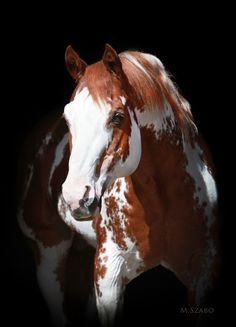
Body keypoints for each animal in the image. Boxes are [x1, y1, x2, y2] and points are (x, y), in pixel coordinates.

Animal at [17, 44, 220, 327]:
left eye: (117, 117)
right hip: (49, 254)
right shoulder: (109, 274)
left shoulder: (203, 276)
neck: (163, 203)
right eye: (68, 119)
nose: (75, 197)